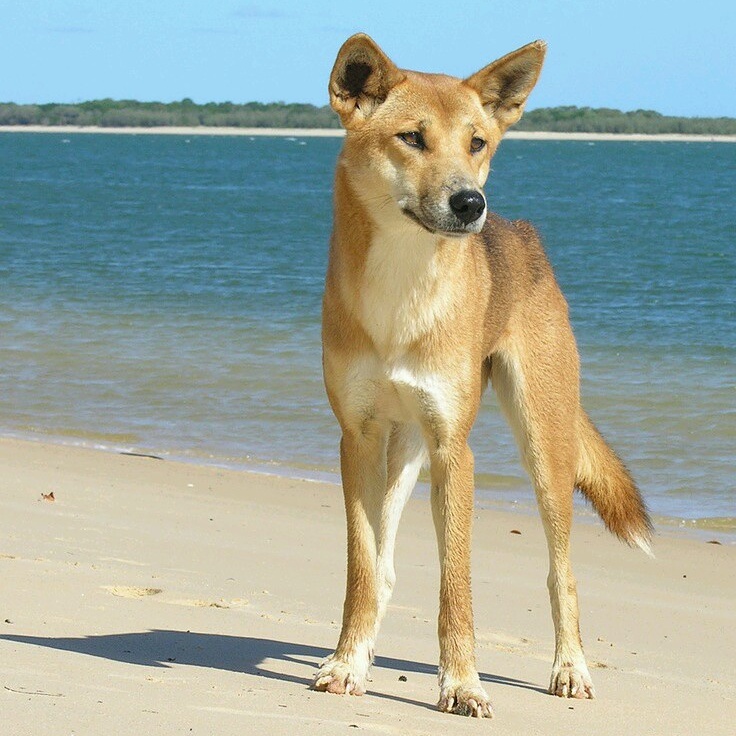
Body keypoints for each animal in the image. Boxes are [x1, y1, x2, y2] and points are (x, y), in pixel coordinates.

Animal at [310, 34, 648, 720]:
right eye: (412, 138)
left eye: (477, 142)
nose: (470, 204)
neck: (403, 297)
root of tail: (520, 233)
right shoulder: (356, 439)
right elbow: (362, 570)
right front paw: (347, 663)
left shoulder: (453, 448)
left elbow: (456, 584)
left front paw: (462, 683)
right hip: (400, 450)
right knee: (385, 567)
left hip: (544, 446)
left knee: (562, 571)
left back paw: (571, 669)